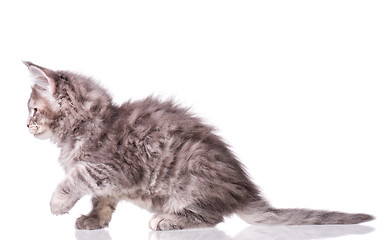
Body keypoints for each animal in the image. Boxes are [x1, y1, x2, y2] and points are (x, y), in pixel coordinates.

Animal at [23, 62, 372, 231]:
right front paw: (94, 221)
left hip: (189, 174)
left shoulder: (115, 168)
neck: (88, 124)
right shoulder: (111, 182)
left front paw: (58, 203)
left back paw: (168, 221)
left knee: (211, 217)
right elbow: (102, 200)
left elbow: (75, 177)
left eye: (33, 110)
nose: (25, 126)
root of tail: (244, 190)